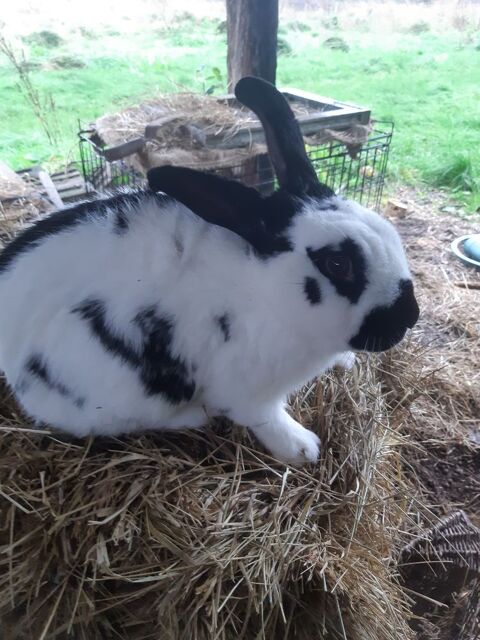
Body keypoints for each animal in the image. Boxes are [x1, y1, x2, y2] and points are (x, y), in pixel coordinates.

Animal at [0, 76, 419, 464]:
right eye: (338, 263)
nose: (410, 316)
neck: (264, 291)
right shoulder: (249, 390)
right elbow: (266, 419)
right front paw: (304, 449)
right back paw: (195, 417)